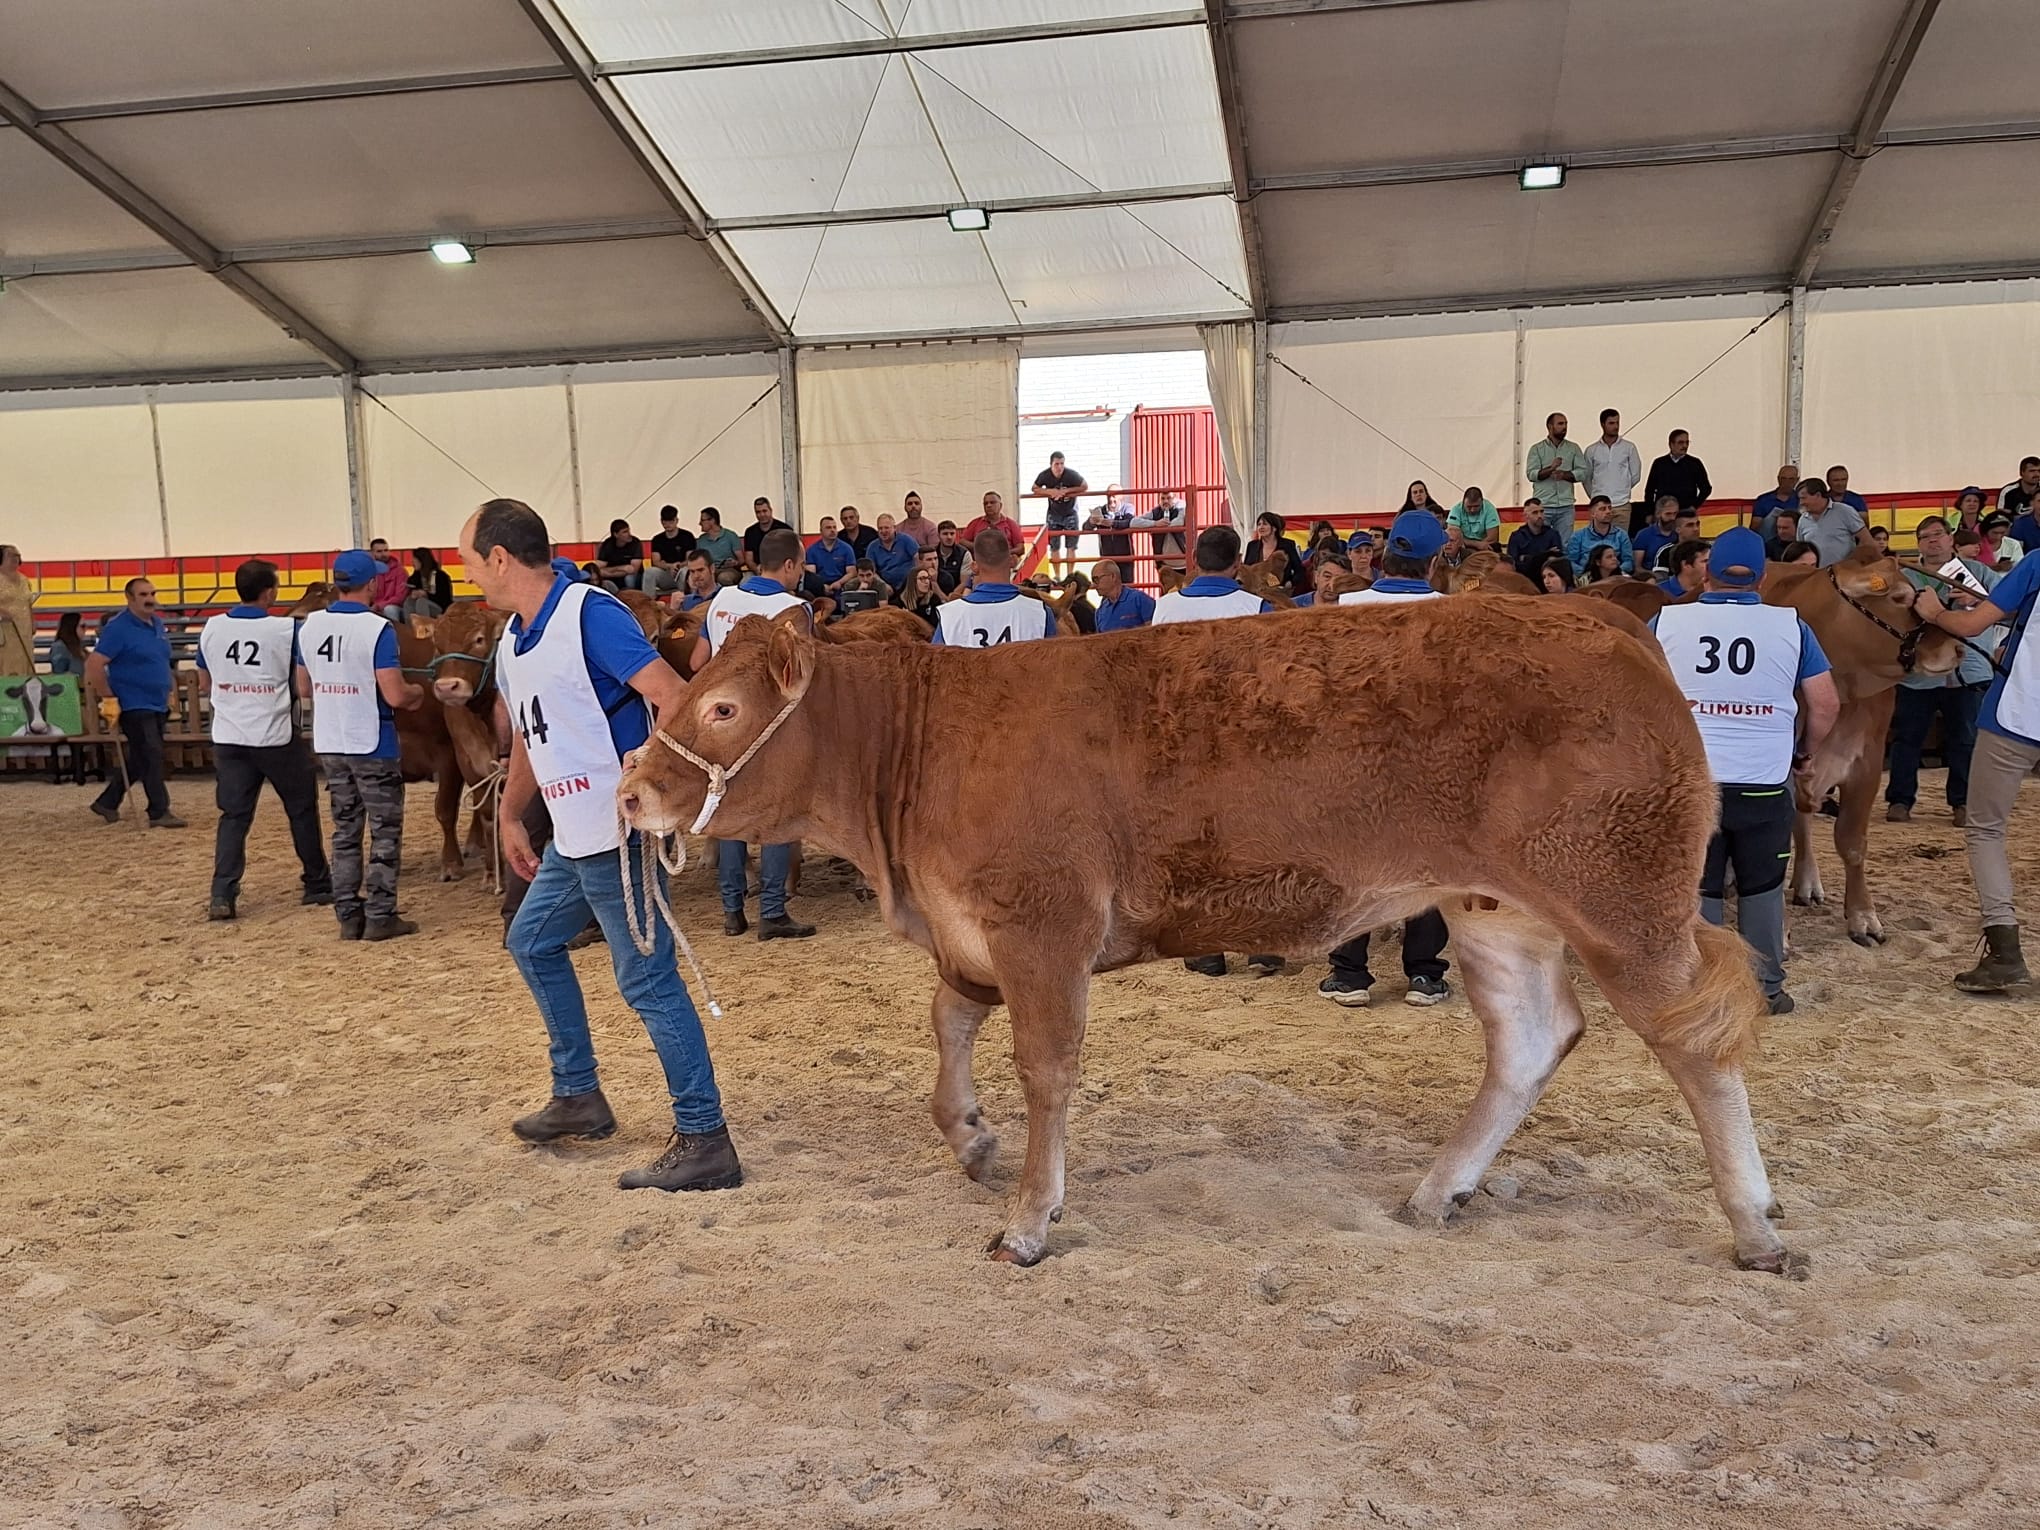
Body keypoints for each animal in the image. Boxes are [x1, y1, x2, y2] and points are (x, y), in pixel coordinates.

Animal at [624, 603, 1803, 1272]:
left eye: (722, 709)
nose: (634, 791)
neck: (919, 754)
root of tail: (1607, 621)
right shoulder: (972, 931)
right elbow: (948, 1021)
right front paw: (967, 1136)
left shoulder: (1042, 921)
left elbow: (1044, 1066)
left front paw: (1029, 1219)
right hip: (1493, 909)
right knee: (1530, 1039)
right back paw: (1438, 1192)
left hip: (1624, 903)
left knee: (1697, 1043)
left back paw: (1754, 1226)